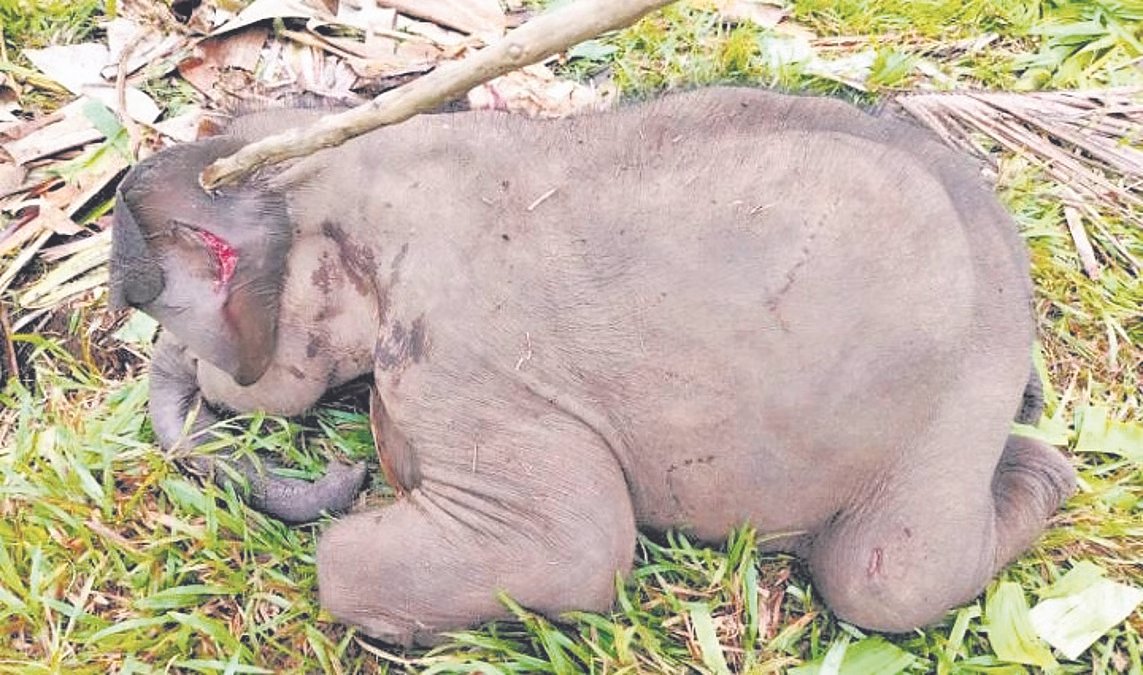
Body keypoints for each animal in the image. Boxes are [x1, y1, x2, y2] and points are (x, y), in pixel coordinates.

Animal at [108, 86, 1075, 645]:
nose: (341, 473)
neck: (375, 158)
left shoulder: (459, 353)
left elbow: (571, 550)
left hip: (946, 402)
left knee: (886, 580)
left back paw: (1042, 470)